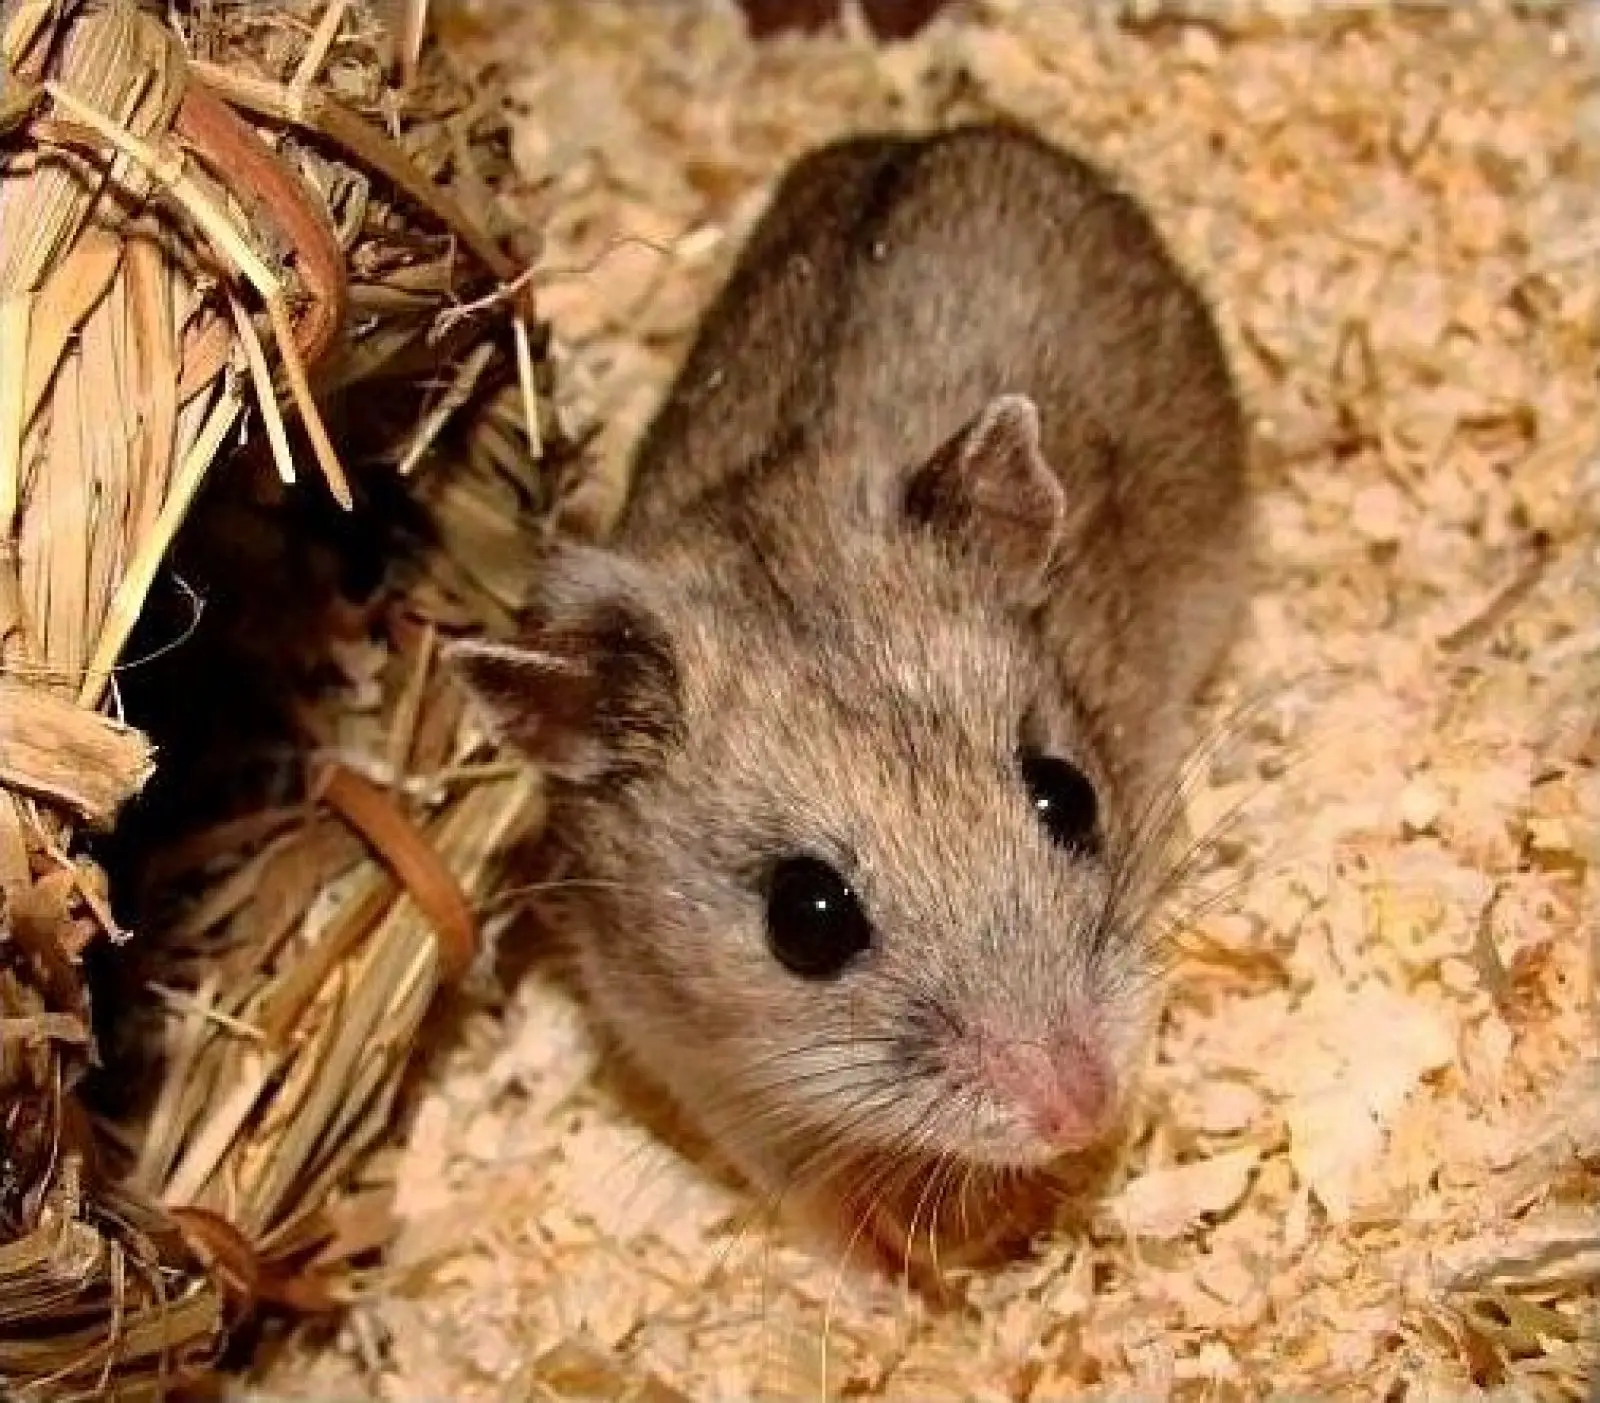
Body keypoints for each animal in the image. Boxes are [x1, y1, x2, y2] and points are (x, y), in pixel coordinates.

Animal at [450, 122, 1251, 1269]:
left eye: (1067, 794)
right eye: (807, 919)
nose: (1081, 1106)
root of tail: (932, 129)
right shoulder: (680, 1044)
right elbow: (798, 1175)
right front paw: (898, 1268)